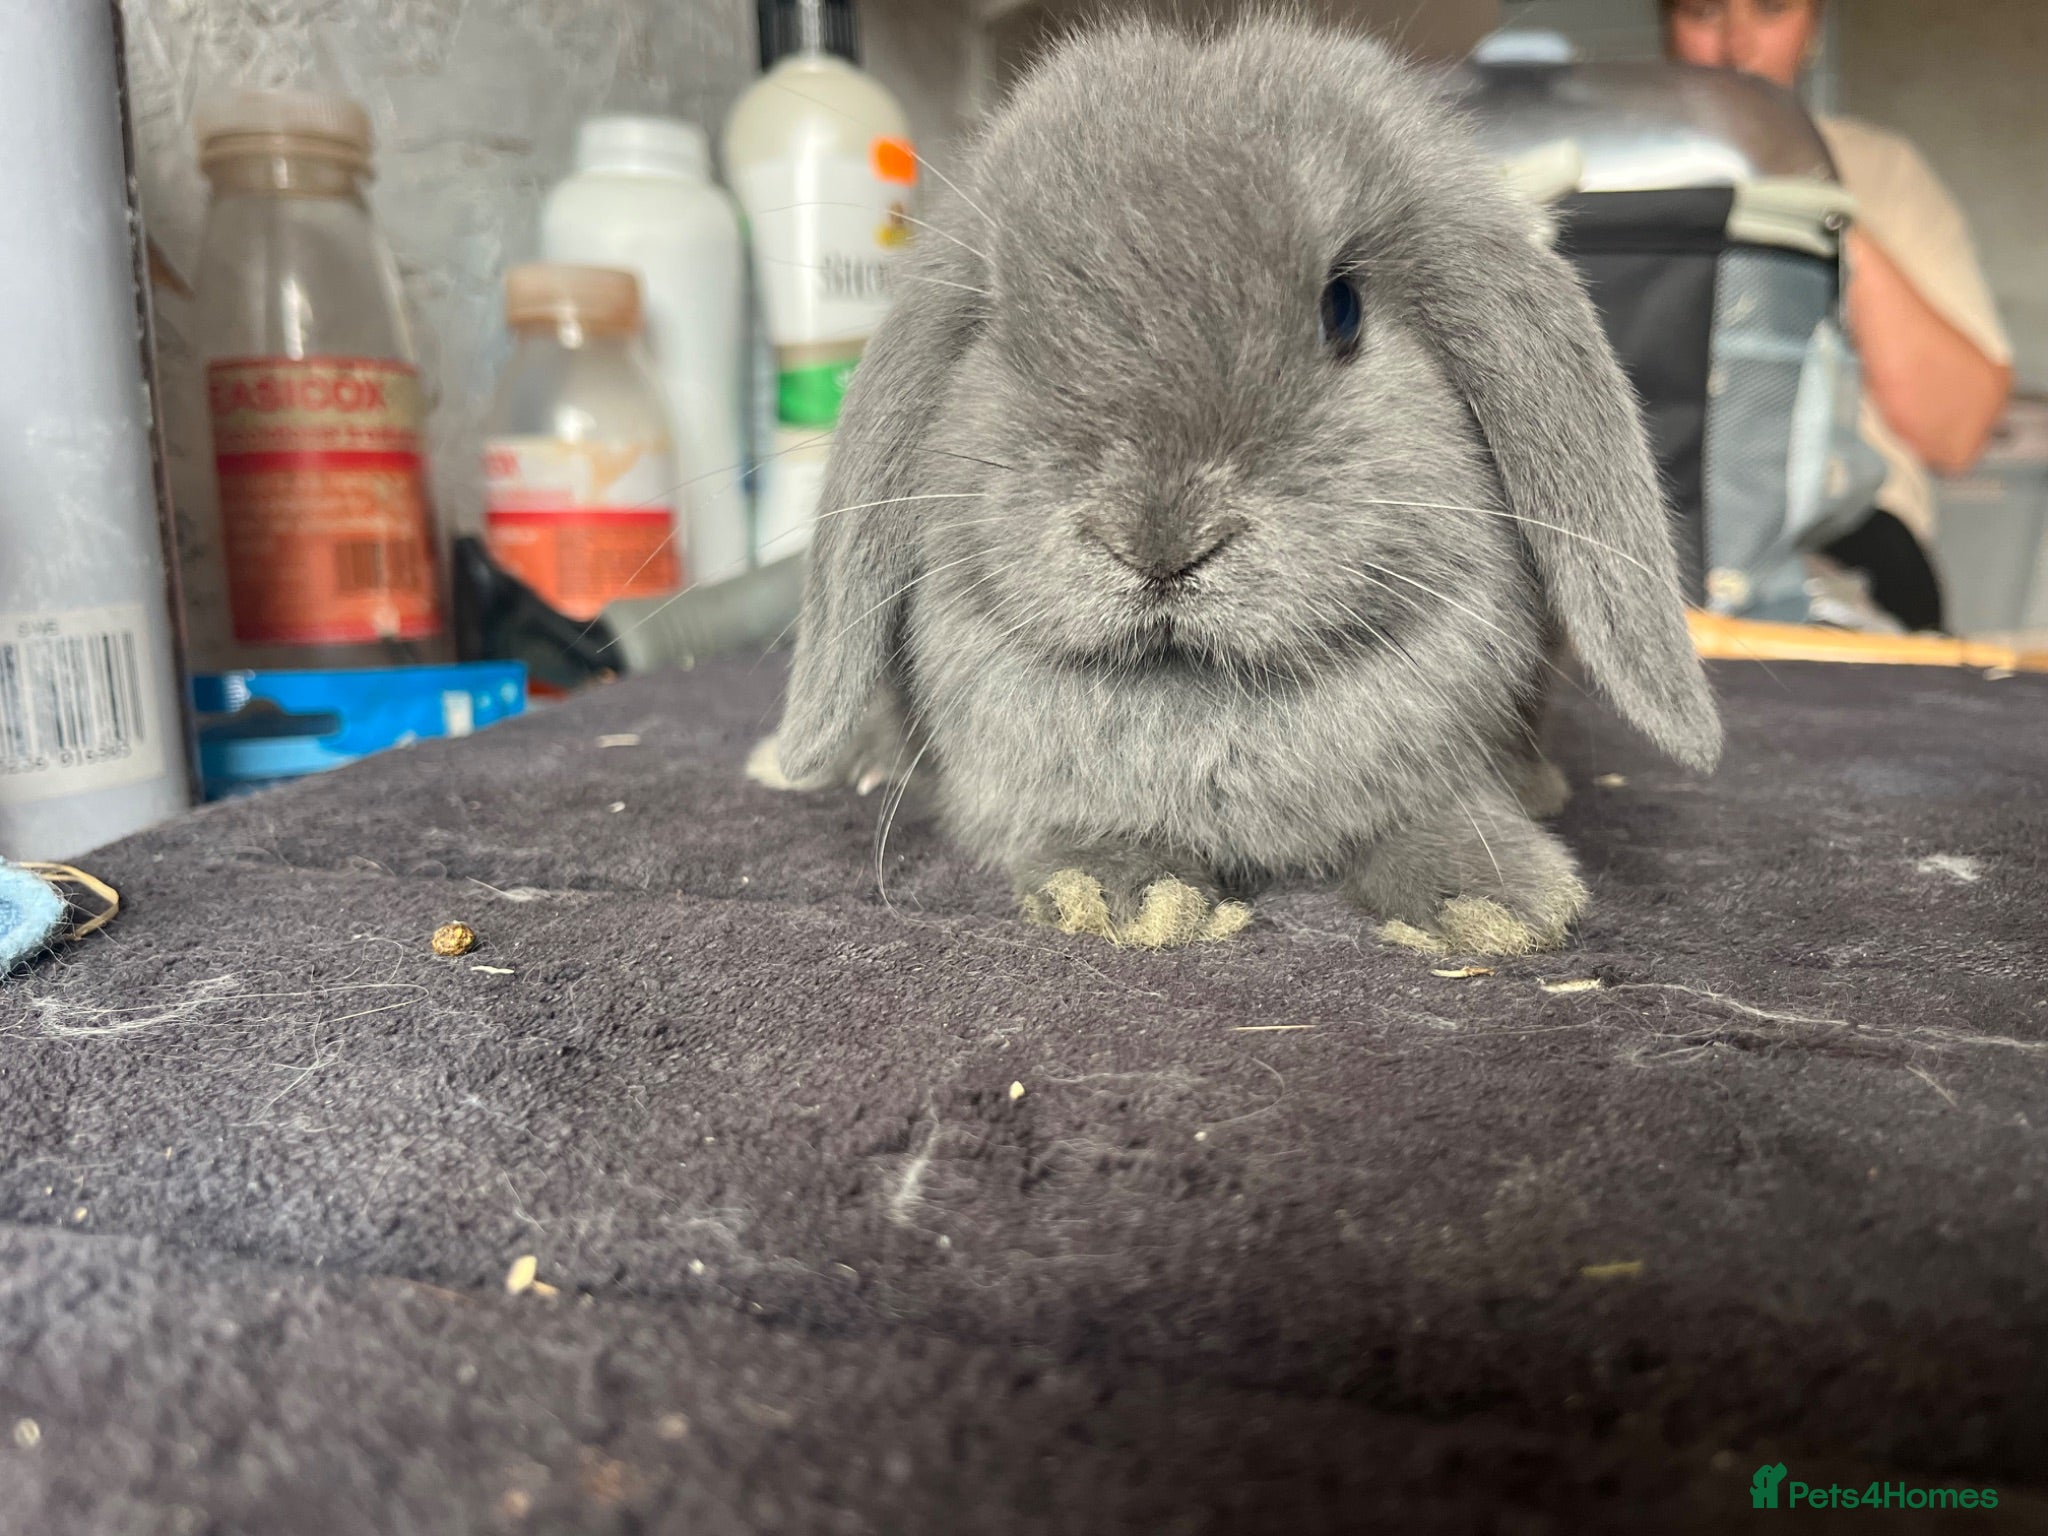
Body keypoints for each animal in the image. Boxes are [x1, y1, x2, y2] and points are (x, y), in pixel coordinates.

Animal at [754, 17, 1720, 955]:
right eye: (997, 329)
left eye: (1343, 309)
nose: (1160, 542)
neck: (1206, 702)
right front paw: (1123, 894)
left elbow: (1437, 816)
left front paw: (1493, 902)